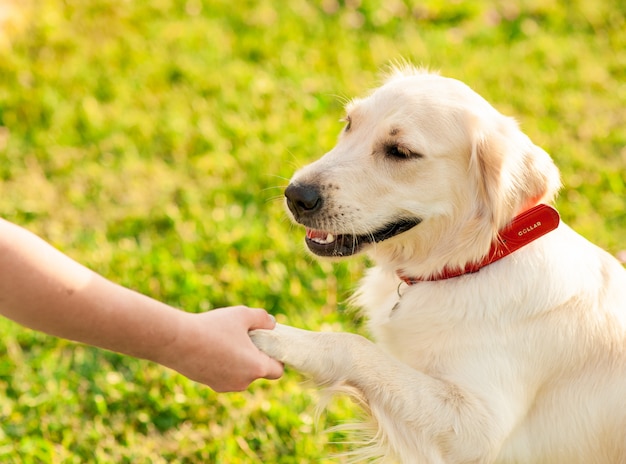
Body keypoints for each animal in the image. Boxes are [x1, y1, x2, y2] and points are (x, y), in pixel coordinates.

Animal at [249, 66, 624, 464]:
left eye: (401, 152)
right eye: (349, 123)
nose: (295, 195)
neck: (468, 266)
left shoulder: (477, 428)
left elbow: (353, 345)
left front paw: (276, 337)